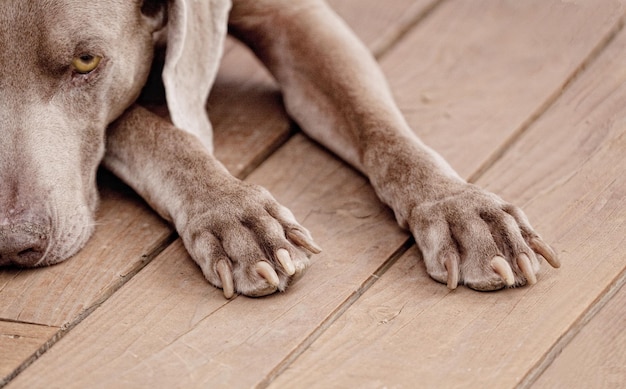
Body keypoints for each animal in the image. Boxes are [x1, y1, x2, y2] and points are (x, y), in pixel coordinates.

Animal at [0, 0, 556, 298]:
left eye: (87, 61)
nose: (11, 244)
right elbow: (157, 131)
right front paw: (237, 218)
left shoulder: (298, 17)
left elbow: (382, 128)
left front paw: (462, 210)